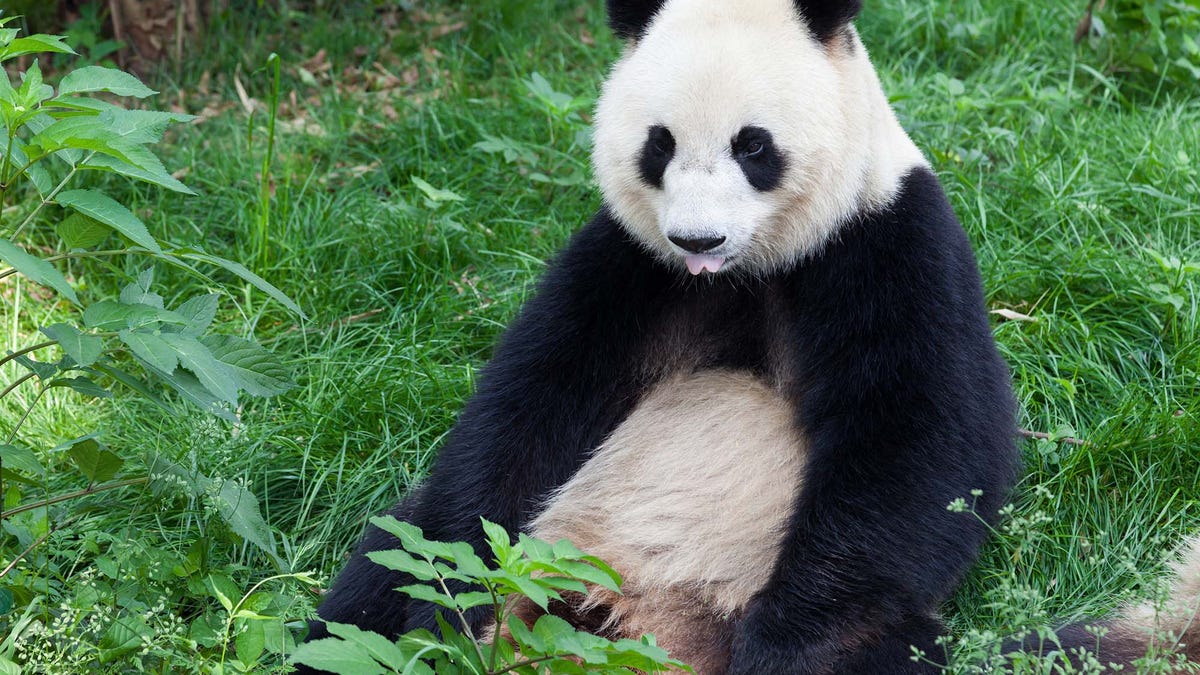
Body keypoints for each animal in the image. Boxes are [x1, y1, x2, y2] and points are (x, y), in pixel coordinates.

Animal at [304, 1, 1200, 667]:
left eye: (753, 145)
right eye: (659, 143)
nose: (698, 238)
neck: (744, 272)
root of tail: (629, 625)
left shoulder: (885, 244)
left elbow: (918, 448)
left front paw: (784, 648)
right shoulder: (630, 268)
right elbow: (522, 415)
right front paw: (447, 597)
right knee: (379, 567)